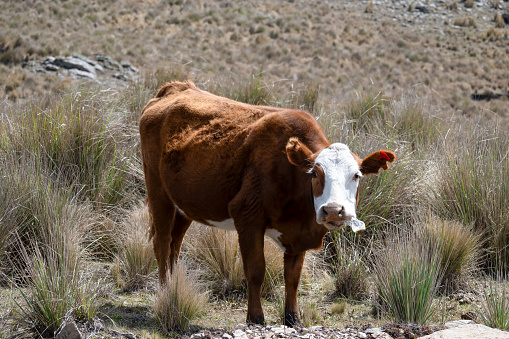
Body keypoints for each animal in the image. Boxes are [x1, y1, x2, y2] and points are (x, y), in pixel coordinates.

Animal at [140, 81, 396, 328]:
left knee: (175, 243)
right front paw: (255, 317)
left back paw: (173, 284)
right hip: (157, 190)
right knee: (162, 242)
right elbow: (255, 270)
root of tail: (176, 87)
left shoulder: (299, 234)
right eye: (314, 173)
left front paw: (293, 318)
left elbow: (292, 277)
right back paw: (166, 291)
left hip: (184, 204)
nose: (333, 210)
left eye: (356, 175)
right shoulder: (247, 216)